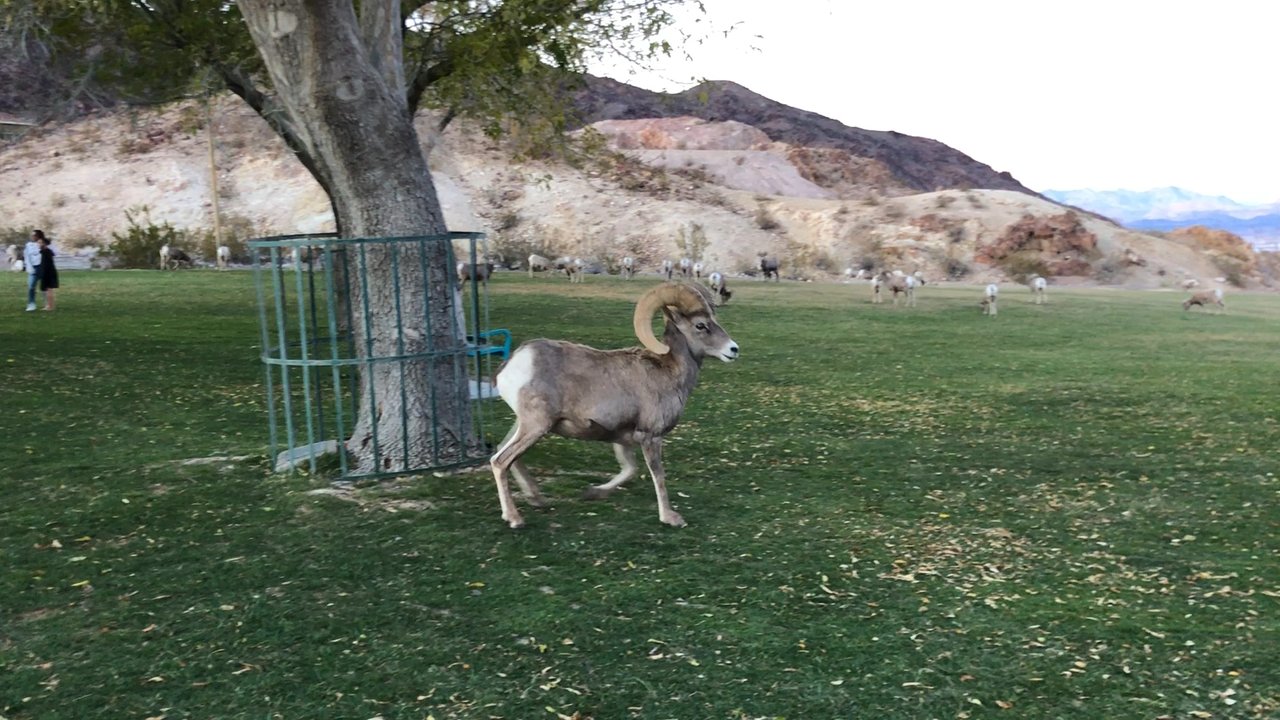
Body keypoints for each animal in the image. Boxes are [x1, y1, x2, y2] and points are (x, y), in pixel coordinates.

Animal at [489, 282, 740, 529]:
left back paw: (537, 499)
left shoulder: (622, 438)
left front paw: (592, 493)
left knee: (506, 454)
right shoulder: (651, 436)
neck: (669, 373)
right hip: (536, 426)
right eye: (701, 325)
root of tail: (514, 363)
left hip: (525, 425)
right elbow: (658, 476)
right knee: (500, 461)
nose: (733, 349)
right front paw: (670, 518)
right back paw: (514, 518)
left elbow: (629, 470)